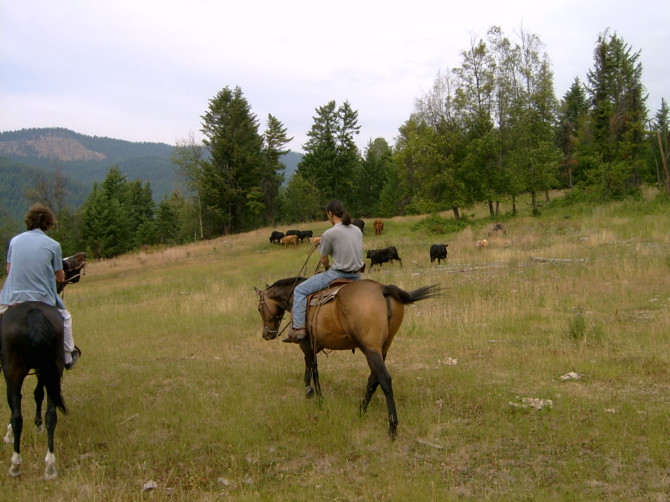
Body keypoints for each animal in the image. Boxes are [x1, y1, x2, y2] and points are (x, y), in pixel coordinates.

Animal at [0, 302, 67, 478]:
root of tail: (34, 314)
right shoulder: (42, 370)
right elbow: (38, 394)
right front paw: (38, 425)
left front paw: (9, 433)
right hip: (51, 370)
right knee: (51, 416)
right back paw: (50, 467)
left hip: (13, 374)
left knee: (17, 418)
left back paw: (15, 465)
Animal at [256, 276, 440, 438]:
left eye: (259, 308)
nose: (267, 334)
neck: (295, 296)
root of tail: (383, 289)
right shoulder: (314, 346)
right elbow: (309, 366)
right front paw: (310, 390)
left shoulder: (306, 344)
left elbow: (313, 369)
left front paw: (317, 396)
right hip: (383, 349)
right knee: (373, 380)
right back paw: (361, 410)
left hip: (371, 349)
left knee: (384, 379)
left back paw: (392, 427)